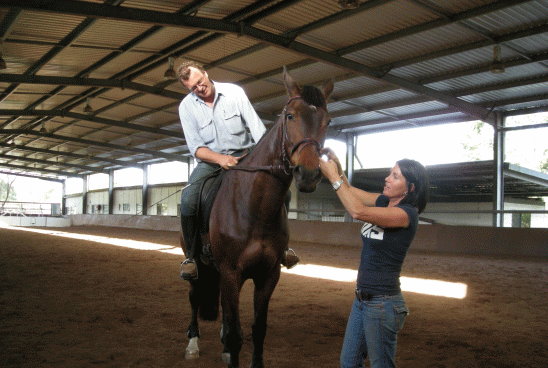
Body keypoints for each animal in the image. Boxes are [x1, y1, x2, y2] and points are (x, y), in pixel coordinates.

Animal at [182, 67, 332, 366]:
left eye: (327, 121)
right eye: (290, 116)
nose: (309, 174)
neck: (254, 207)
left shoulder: (268, 275)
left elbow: (258, 329)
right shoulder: (231, 273)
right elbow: (236, 334)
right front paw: (227, 349)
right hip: (198, 266)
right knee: (194, 298)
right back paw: (193, 343)